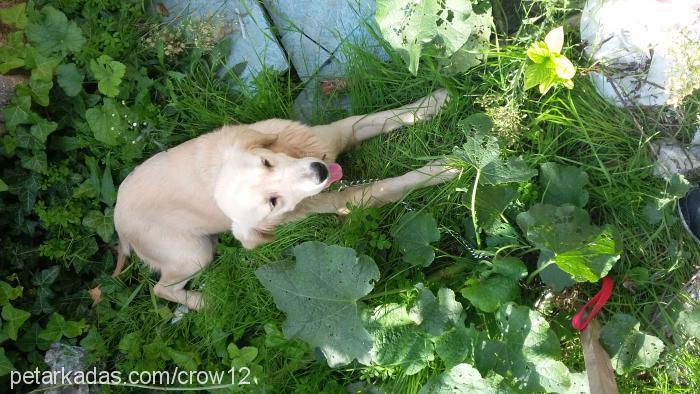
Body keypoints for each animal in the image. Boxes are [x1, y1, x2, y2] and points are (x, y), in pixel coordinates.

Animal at [110, 87, 454, 310]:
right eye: (272, 203)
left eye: (266, 163)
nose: (319, 171)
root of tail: (117, 219)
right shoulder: (348, 200)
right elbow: (395, 183)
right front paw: (446, 168)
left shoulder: (334, 133)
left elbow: (386, 116)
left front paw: (434, 102)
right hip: (192, 255)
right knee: (160, 289)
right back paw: (204, 302)